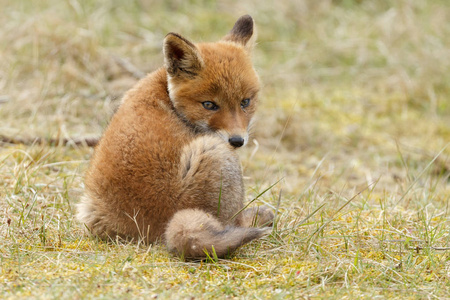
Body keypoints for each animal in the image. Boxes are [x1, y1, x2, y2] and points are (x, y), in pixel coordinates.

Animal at [76, 14, 274, 258]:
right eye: (209, 105)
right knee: (232, 223)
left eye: (245, 102)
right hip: (215, 152)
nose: (237, 141)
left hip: (89, 208)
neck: (167, 94)